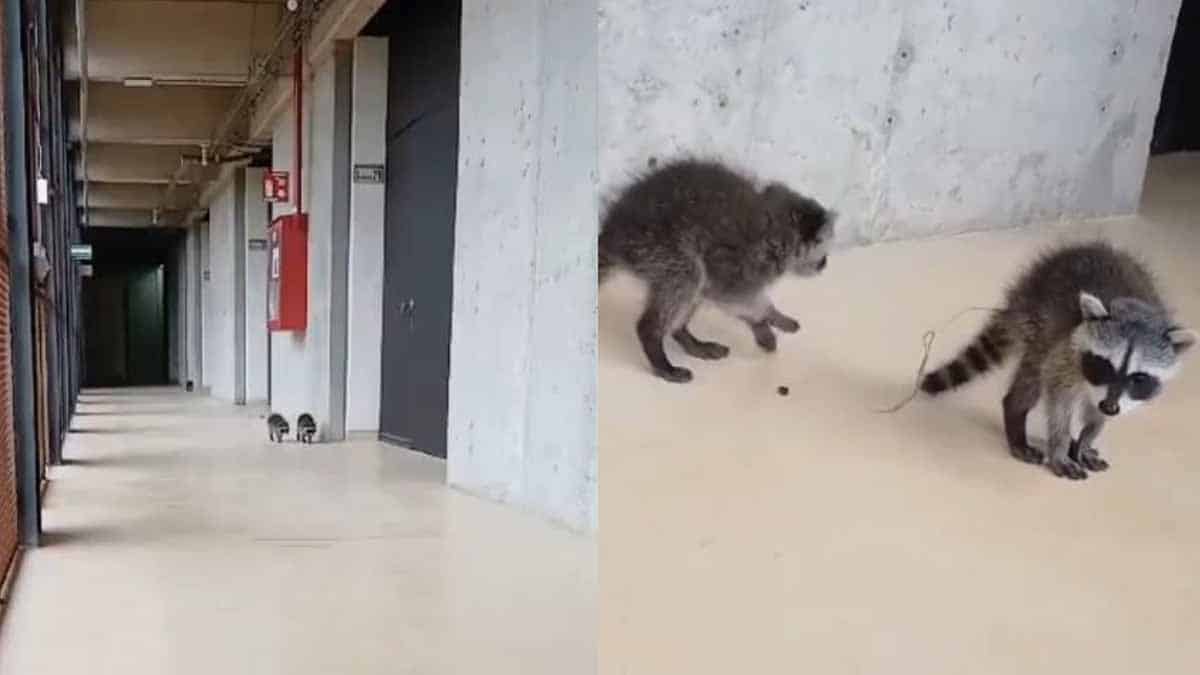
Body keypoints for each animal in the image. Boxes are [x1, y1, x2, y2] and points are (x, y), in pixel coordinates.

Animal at [597, 154, 835, 381]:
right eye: (821, 246)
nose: (824, 263)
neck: (776, 230)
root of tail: (613, 232)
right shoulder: (739, 261)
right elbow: (731, 296)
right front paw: (766, 316)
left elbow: (718, 293)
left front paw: (760, 323)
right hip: (657, 245)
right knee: (688, 276)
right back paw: (654, 341)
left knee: (696, 287)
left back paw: (682, 333)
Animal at [916, 241, 1190, 478]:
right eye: (1104, 366)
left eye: (1139, 378)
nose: (1109, 406)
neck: (1135, 311)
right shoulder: (1067, 351)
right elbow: (1059, 400)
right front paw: (1060, 445)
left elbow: (1096, 414)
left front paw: (1086, 438)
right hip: (1035, 320)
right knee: (1034, 375)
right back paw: (1016, 415)